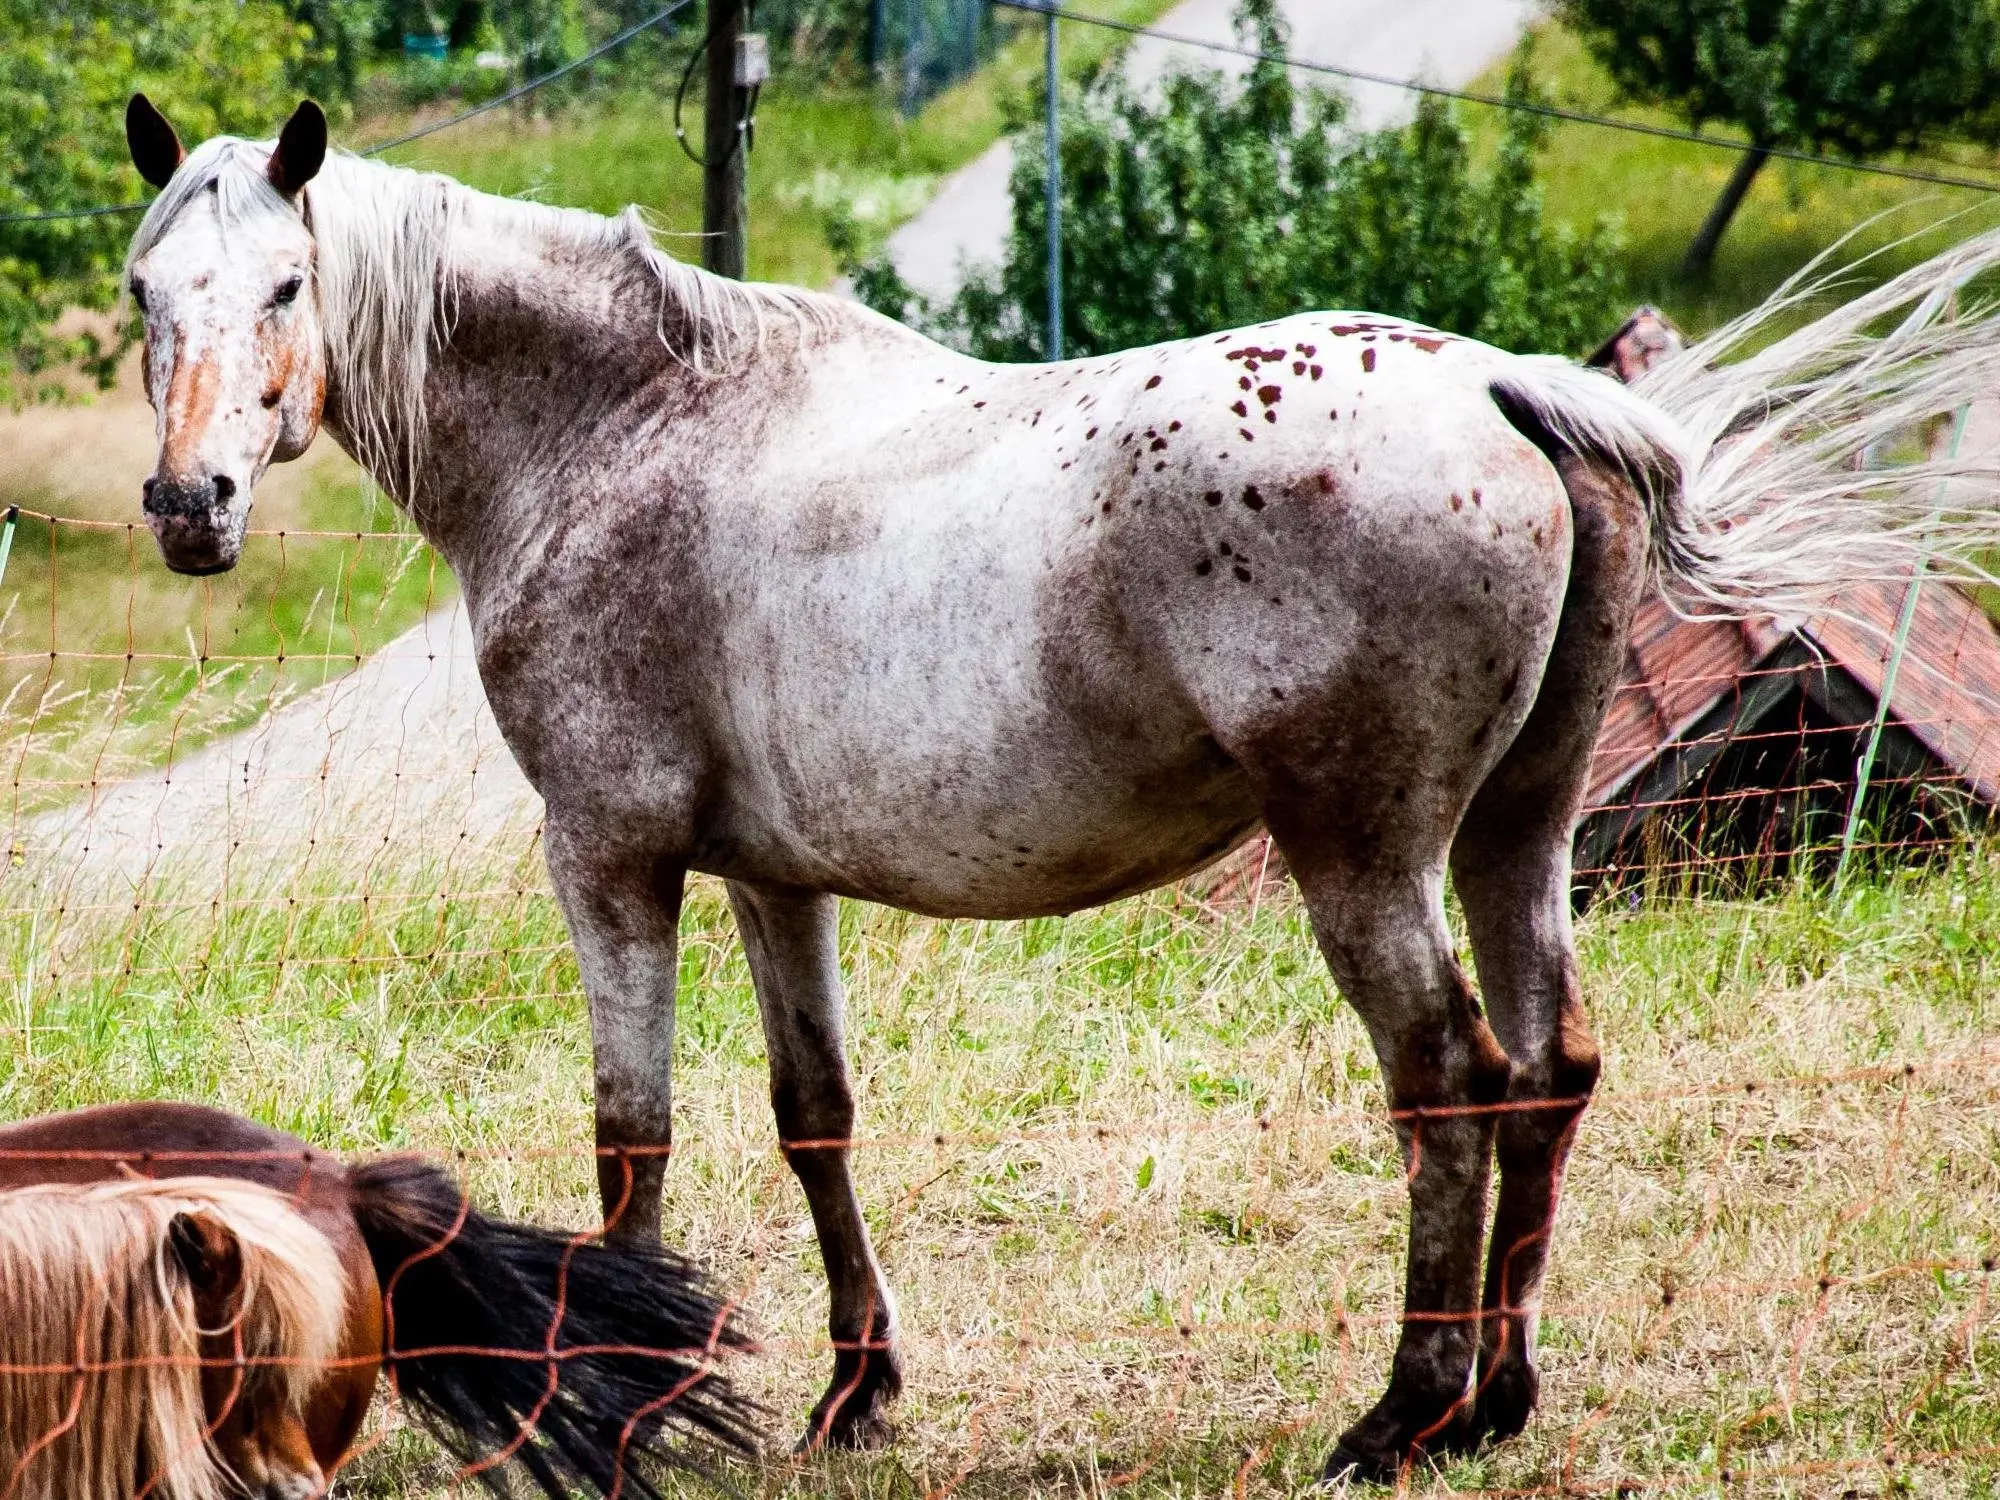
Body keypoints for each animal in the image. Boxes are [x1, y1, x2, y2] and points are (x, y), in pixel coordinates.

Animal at [121, 100, 2000, 1488]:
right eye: (151, 296)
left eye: (283, 288)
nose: (189, 505)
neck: (625, 427)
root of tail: (1494, 383)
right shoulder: (771, 881)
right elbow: (815, 1116)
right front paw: (852, 1394)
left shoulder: (614, 860)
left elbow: (629, 1137)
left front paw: (615, 1400)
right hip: (1510, 838)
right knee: (1547, 1069)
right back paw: (1500, 1403)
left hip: (1364, 861)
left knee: (1450, 1084)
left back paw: (1407, 1413)